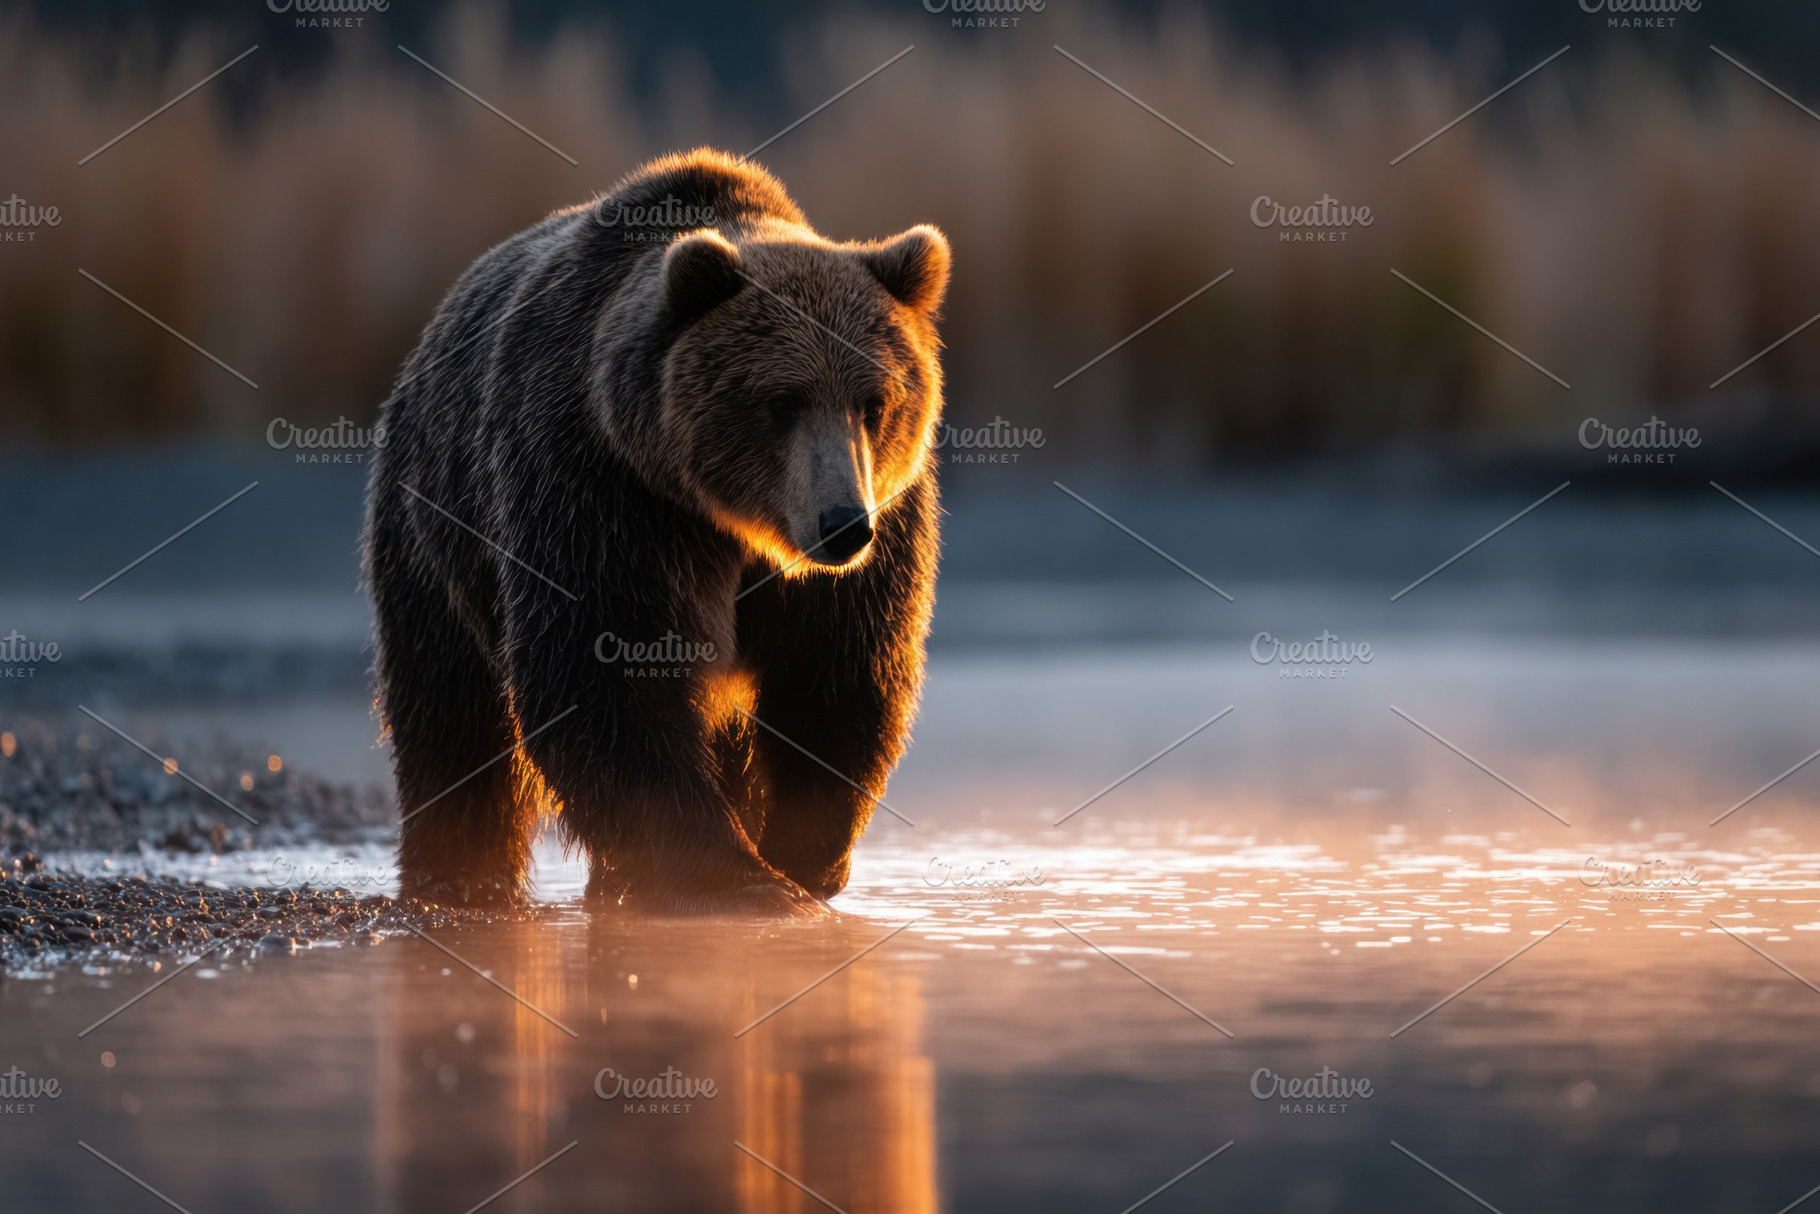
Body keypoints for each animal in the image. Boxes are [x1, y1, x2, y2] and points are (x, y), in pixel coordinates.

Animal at [363, 149, 949, 915]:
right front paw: (733, 875)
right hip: (433, 530)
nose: (842, 527)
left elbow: (837, 674)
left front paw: (800, 855)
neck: (732, 524)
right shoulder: (604, 495)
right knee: (448, 715)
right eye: (781, 401)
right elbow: (607, 669)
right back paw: (461, 875)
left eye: (875, 402)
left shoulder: (882, 527)